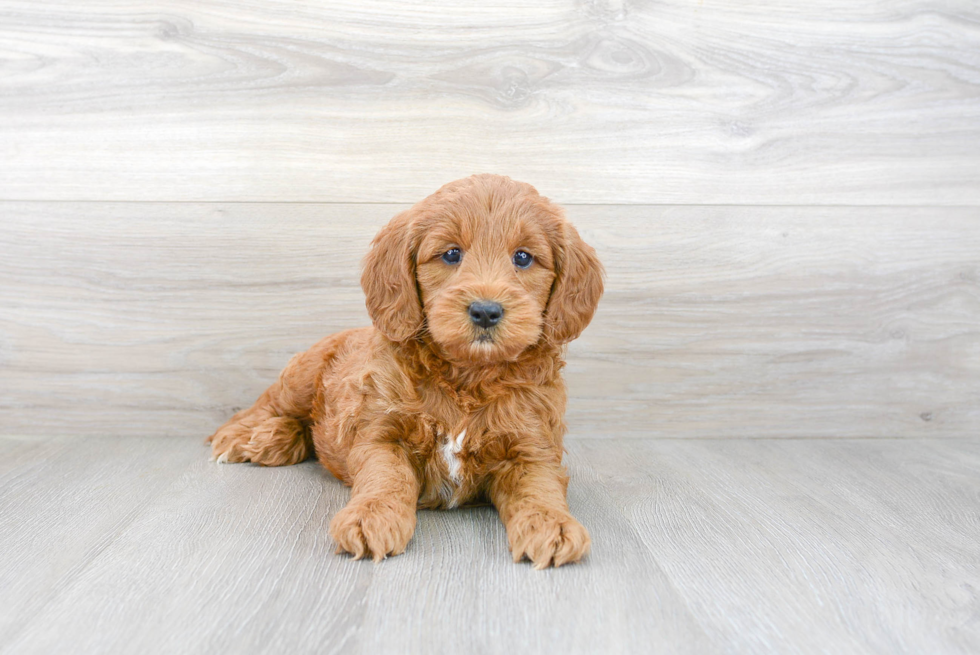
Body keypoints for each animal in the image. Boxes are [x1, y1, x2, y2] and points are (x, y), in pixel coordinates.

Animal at [210, 174, 600, 568]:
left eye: (523, 257)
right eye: (451, 254)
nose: (486, 311)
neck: (468, 376)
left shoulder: (532, 448)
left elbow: (540, 488)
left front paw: (553, 525)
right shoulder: (382, 433)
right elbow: (386, 477)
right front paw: (371, 516)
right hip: (303, 373)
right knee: (271, 404)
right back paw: (247, 436)